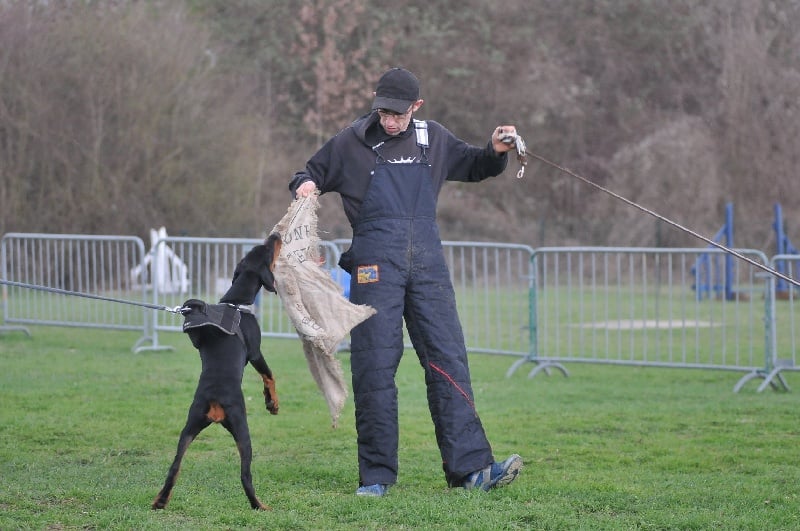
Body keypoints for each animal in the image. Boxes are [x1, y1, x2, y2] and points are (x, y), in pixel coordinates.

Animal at [152, 234, 282, 511]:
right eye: (267, 250)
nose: (275, 236)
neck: (236, 303)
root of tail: (214, 401)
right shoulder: (255, 352)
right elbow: (269, 375)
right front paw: (272, 403)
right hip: (242, 430)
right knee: (245, 475)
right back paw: (260, 506)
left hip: (189, 427)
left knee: (174, 468)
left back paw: (160, 501)